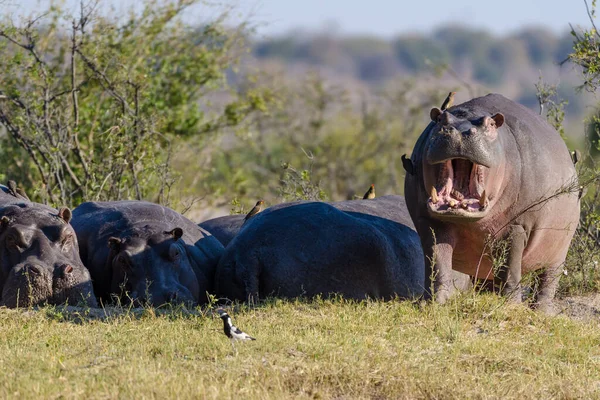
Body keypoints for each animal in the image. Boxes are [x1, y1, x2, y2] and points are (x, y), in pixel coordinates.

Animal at [406, 94, 580, 312]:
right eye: (439, 120)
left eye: (489, 124)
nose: (460, 131)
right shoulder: (430, 221)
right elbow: (438, 261)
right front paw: (434, 302)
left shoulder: (517, 226)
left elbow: (511, 267)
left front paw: (511, 306)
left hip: (559, 251)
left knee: (547, 281)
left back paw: (541, 311)